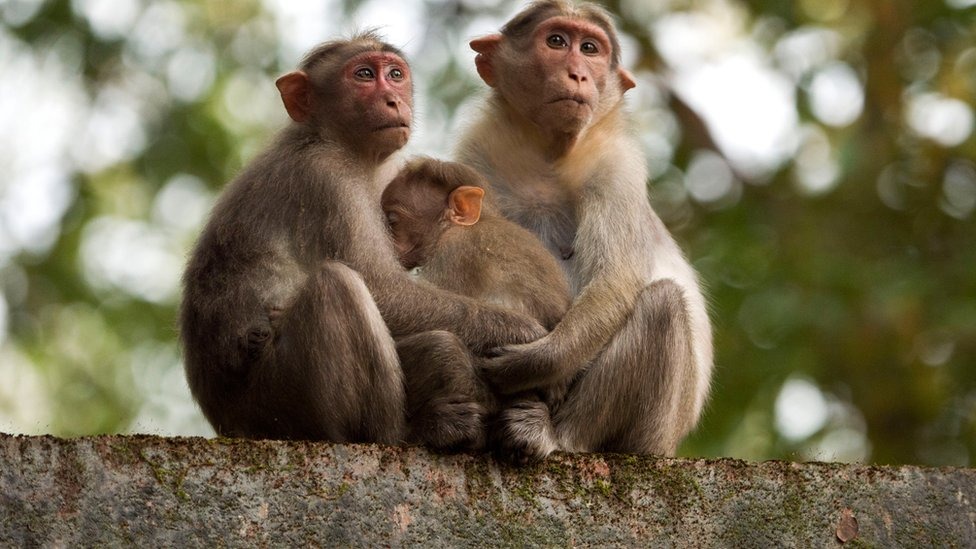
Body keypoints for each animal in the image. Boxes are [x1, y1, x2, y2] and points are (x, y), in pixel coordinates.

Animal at [179, 33, 546, 449]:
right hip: (275, 404)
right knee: (337, 285)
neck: (334, 142)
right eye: (365, 75)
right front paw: (524, 335)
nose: (393, 100)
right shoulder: (326, 178)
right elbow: (383, 288)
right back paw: (402, 433)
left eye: (395, 75)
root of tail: (226, 420)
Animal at [454, 0, 714, 460]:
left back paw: (553, 435)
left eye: (590, 48)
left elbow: (616, 280)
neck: (548, 152)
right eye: (557, 41)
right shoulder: (476, 153)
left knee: (663, 304)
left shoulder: (617, 165)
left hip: (653, 433)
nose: (578, 74)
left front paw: (533, 365)